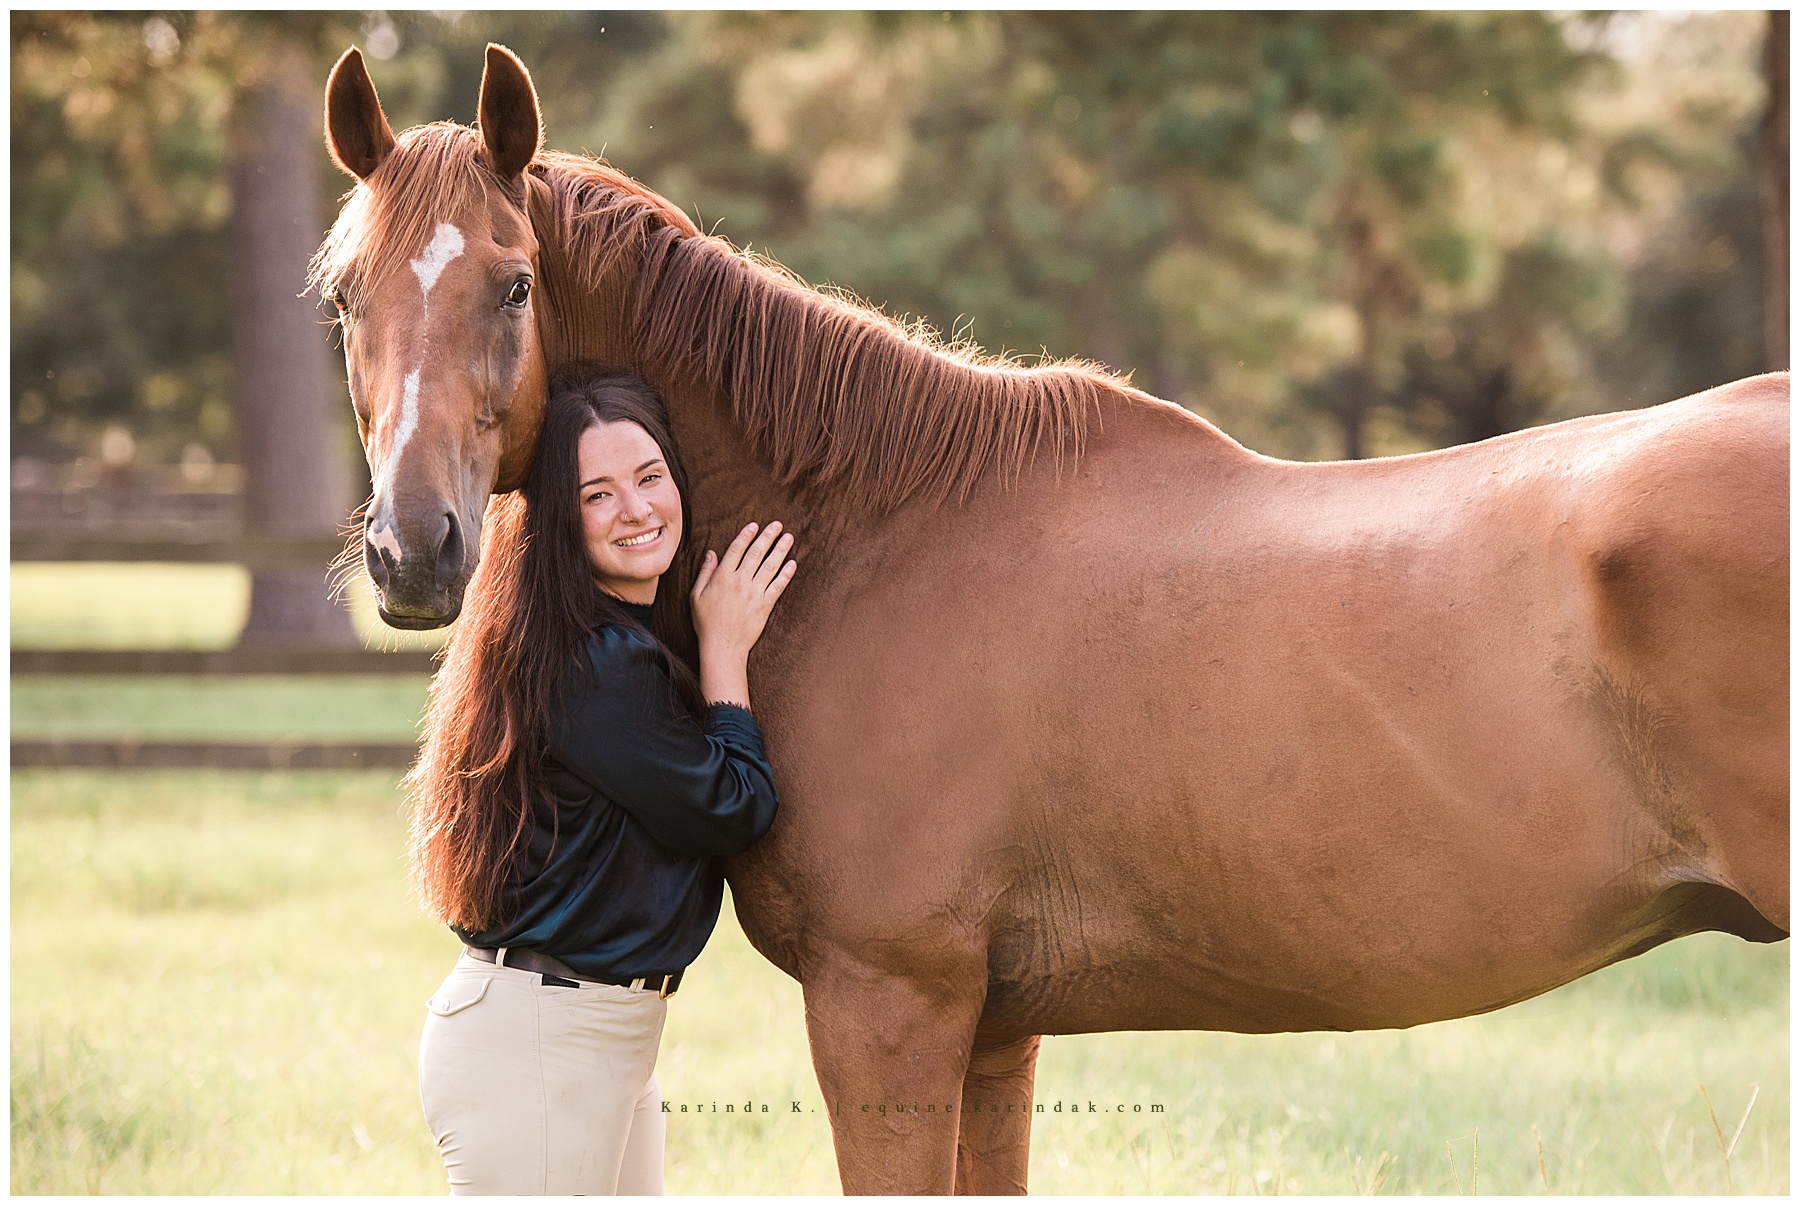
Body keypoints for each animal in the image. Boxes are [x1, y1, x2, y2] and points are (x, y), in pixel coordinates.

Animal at [314, 45, 1789, 1193]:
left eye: (513, 283)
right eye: (344, 298)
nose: (414, 548)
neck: (874, 533)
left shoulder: (891, 1006)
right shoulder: (991, 1029)